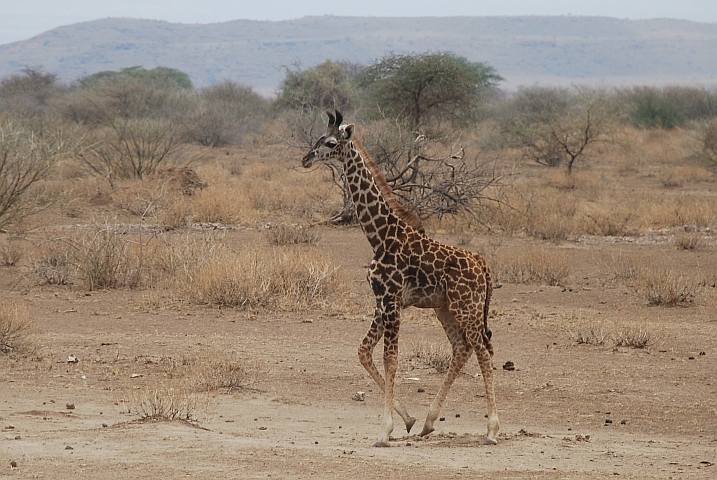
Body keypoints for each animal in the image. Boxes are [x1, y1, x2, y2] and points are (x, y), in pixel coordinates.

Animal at [300, 111, 498, 446]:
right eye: (317, 139)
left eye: (329, 142)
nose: (305, 158)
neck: (379, 237)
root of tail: (482, 264)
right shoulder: (383, 301)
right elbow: (364, 352)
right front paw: (408, 420)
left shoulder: (390, 300)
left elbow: (390, 358)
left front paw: (384, 431)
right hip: (445, 308)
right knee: (463, 348)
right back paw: (429, 423)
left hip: (466, 307)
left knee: (484, 350)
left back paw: (492, 430)